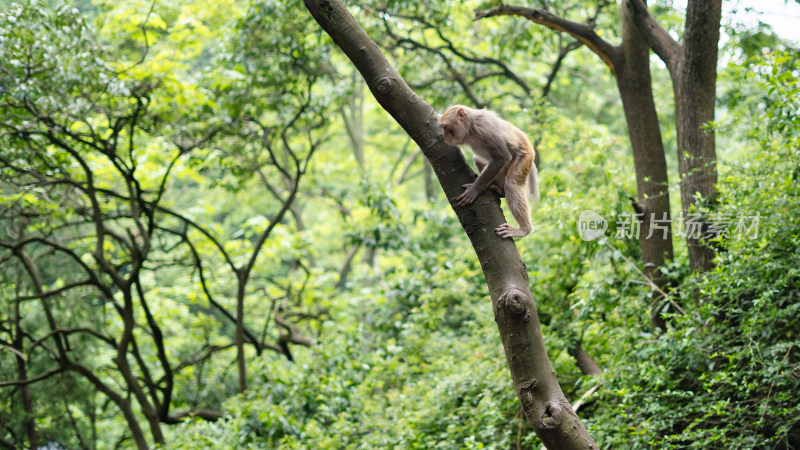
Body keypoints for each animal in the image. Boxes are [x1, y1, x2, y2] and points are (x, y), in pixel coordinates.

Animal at [434, 105, 540, 239]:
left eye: (446, 127)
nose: (444, 136)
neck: (471, 128)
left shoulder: (486, 130)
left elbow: (502, 157)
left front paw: (474, 190)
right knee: (478, 159)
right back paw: (500, 190)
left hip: (524, 158)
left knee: (511, 184)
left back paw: (524, 229)